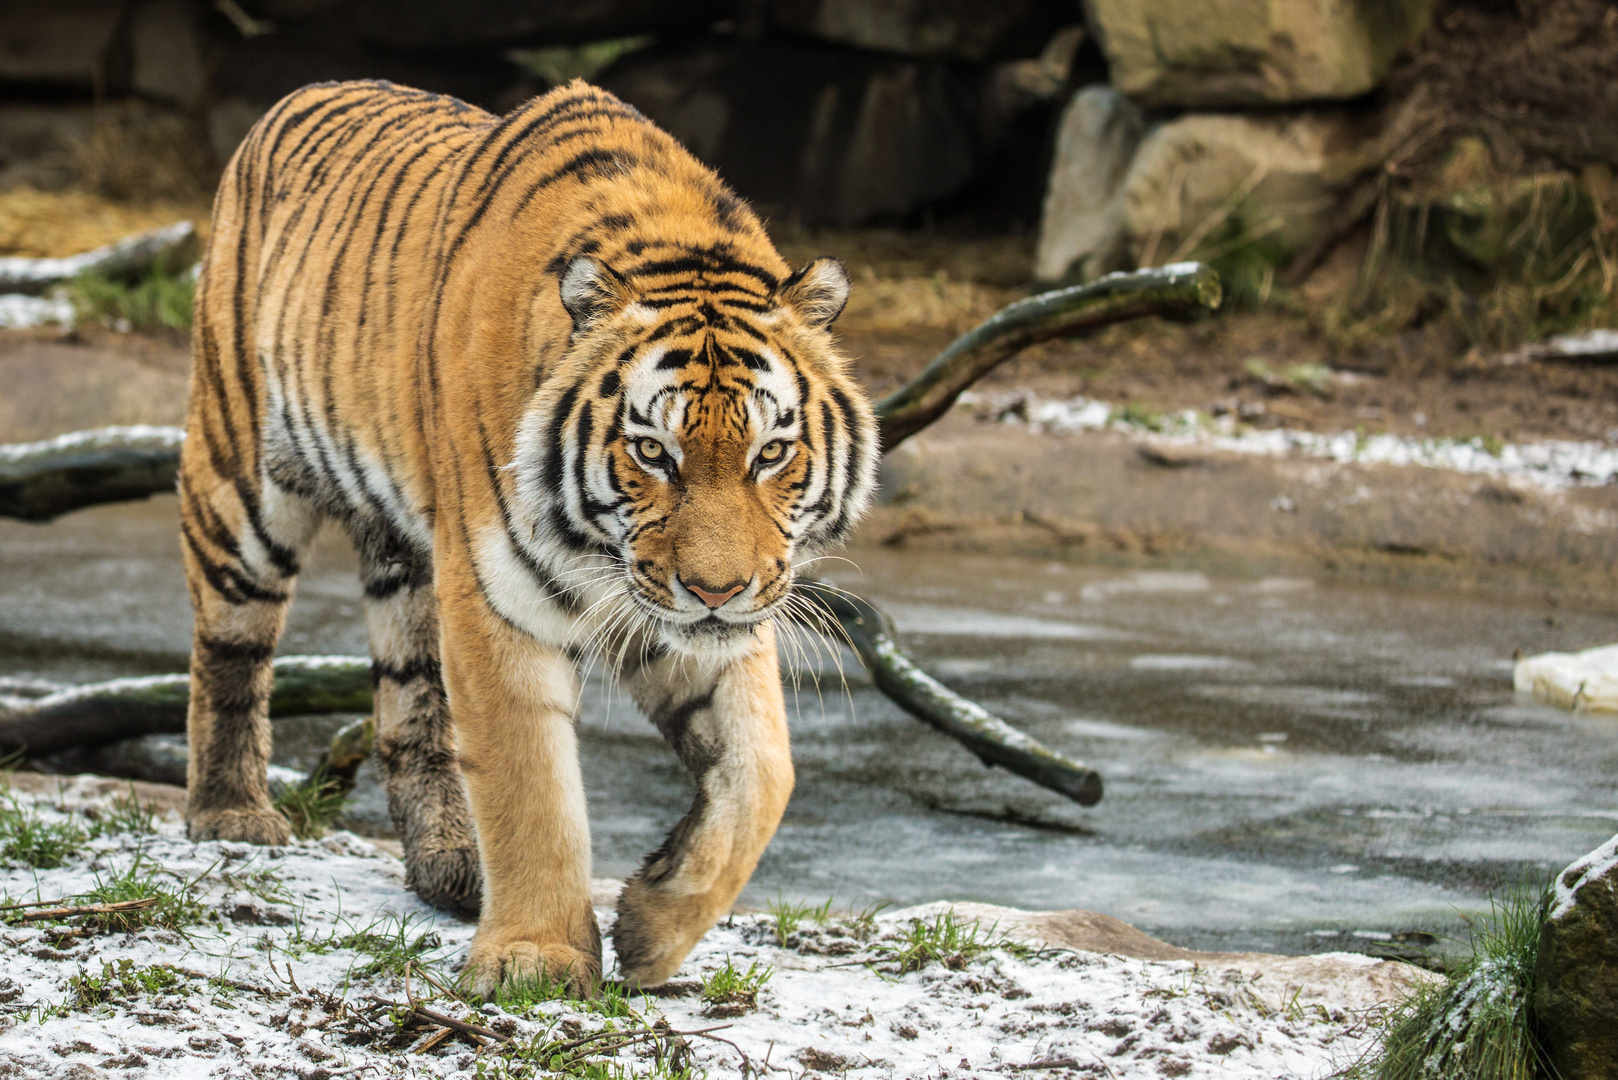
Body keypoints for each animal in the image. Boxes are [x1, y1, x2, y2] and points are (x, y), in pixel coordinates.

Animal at [180, 78, 873, 997]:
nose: (716, 591)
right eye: (653, 452)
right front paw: (535, 960)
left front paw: (651, 927)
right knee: (230, 648)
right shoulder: (498, 599)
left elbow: (763, 770)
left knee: (411, 709)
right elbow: (531, 785)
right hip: (243, 479)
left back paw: (449, 866)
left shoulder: (692, 616)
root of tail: (300, 91)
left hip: (409, 564)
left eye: (770, 454)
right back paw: (231, 813)